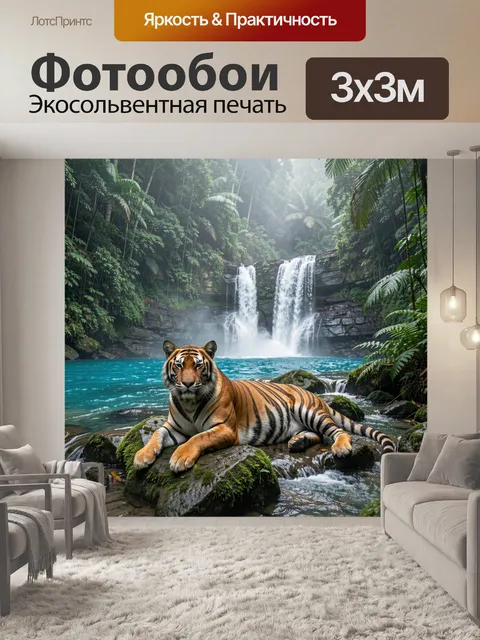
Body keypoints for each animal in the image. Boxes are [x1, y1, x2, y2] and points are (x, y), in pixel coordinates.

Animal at [133, 340, 396, 473]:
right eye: (178, 366)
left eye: (198, 366)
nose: (187, 384)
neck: (189, 401)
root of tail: (315, 394)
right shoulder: (173, 427)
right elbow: (156, 434)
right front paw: (142, 456)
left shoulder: (225, 429)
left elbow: (197, 438)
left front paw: (180, 458)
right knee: (319, 435)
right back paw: (297, 441)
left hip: (307, 410)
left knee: (336, 432)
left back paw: (340, 447)